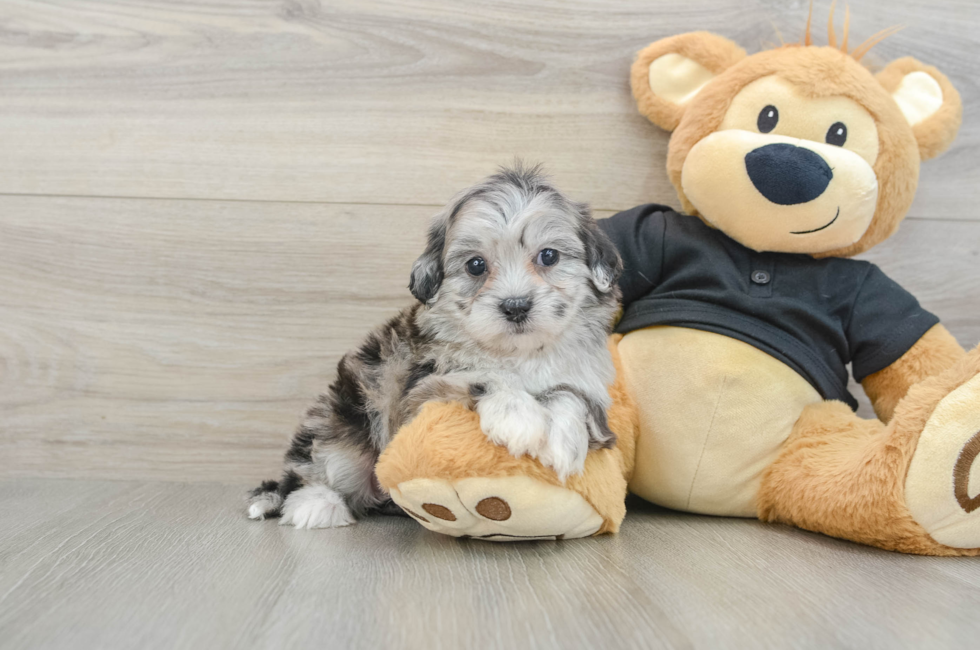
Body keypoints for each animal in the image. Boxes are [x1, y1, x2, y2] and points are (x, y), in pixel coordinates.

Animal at [249, 165, 624, 528]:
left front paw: (563, 440)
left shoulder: (588, 382)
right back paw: (316, 504)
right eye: (476, 265)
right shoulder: (418, 393)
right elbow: (483, 375)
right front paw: (518, 416)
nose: (516, 306)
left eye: (548, 256)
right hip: (343, 420)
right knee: (314, 467)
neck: (517, 353)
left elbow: (572, 395)